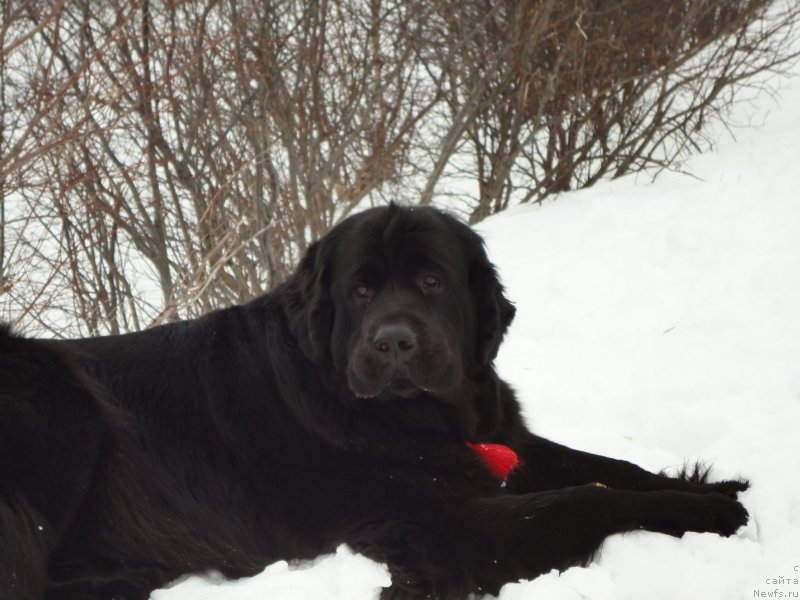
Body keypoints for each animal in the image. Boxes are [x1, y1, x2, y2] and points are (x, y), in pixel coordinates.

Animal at [0, 204, 752, 596]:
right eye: (360, 290)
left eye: (431, 281)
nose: (393, 343)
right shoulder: (425, 526)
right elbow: (583, 500)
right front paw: (709, 512)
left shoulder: (505, 442)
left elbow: (602, 466)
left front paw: (709, 483)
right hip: (61, 405)